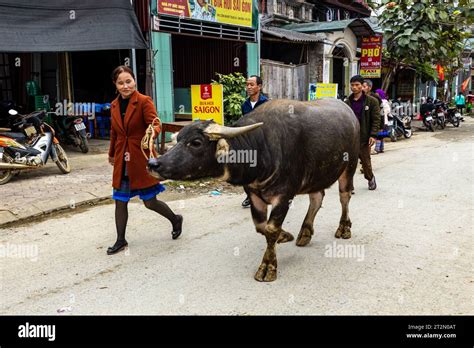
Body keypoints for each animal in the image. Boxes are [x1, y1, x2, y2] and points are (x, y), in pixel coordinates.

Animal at [148, 96, 360, 282]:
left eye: (196, 142)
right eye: (178, 140)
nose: (153, 163)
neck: (261, 148)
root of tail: (350, 113)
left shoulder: (284, 196)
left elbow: (271, 228)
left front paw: (268, 267)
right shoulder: (254, 194)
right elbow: (261, 227)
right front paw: (285, 236)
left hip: (349, 166)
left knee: (344, 196)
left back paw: (343, 228)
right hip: (316, 176)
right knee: (317, 197)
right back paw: (304, 233)